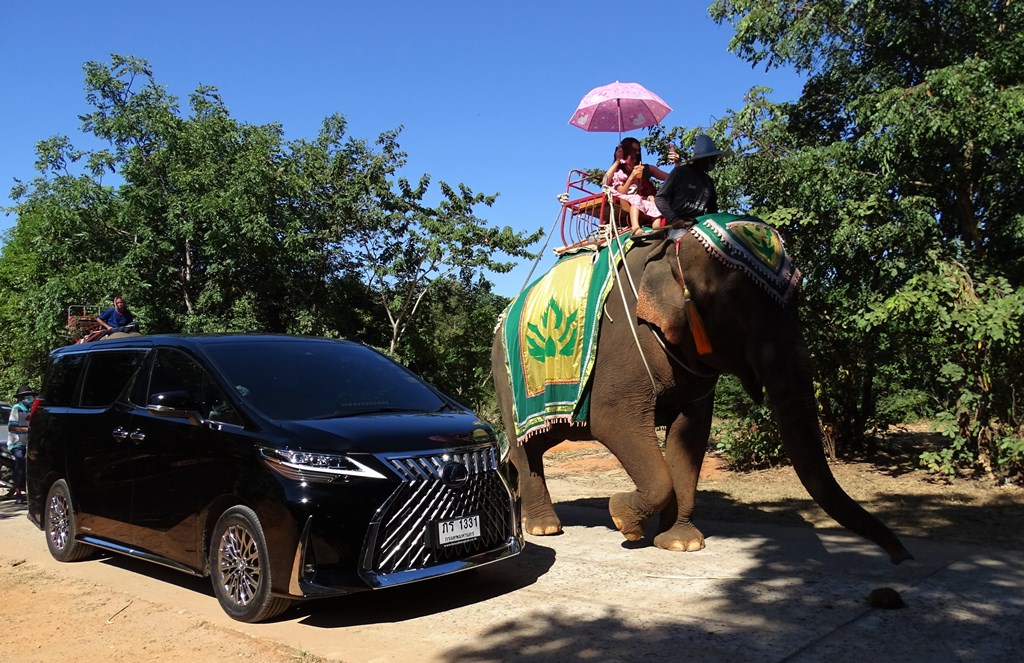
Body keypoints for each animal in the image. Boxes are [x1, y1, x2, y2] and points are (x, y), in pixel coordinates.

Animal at [491, 224, 917, 565]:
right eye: (736, 301)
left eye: (798, 295)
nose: (902, 558)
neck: (670, 250)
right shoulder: (622, 344)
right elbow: (613, 421)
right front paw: (622, 518)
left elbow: (691, 433)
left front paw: (680, 545)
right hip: (506, 376)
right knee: (523, 446)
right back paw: (545, 529)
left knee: (534, 444)